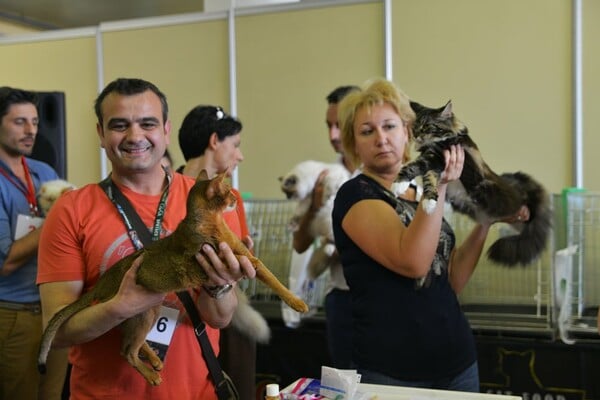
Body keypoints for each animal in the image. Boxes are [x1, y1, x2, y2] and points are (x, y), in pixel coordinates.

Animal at [37, 170, 310, 386]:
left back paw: (154, 360)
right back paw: (151, 375)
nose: (235, 198)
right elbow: (269, 275)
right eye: (227, 191)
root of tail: (103, 283)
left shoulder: (240, 255)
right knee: (126, 351)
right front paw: (298, 303)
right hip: (137, 309)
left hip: (147, 309)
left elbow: (265, 271)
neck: (210, 222)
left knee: (132, 342)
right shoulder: (241, 259)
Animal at [396, 101, 552, 268]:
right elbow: (427, 178)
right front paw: (427, 201)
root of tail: (516, 185)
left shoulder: (439, 157)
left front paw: (400, 185)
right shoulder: (436, 164)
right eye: (415, 126)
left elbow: (416, 167)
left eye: (427, 126)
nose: (417, 135)